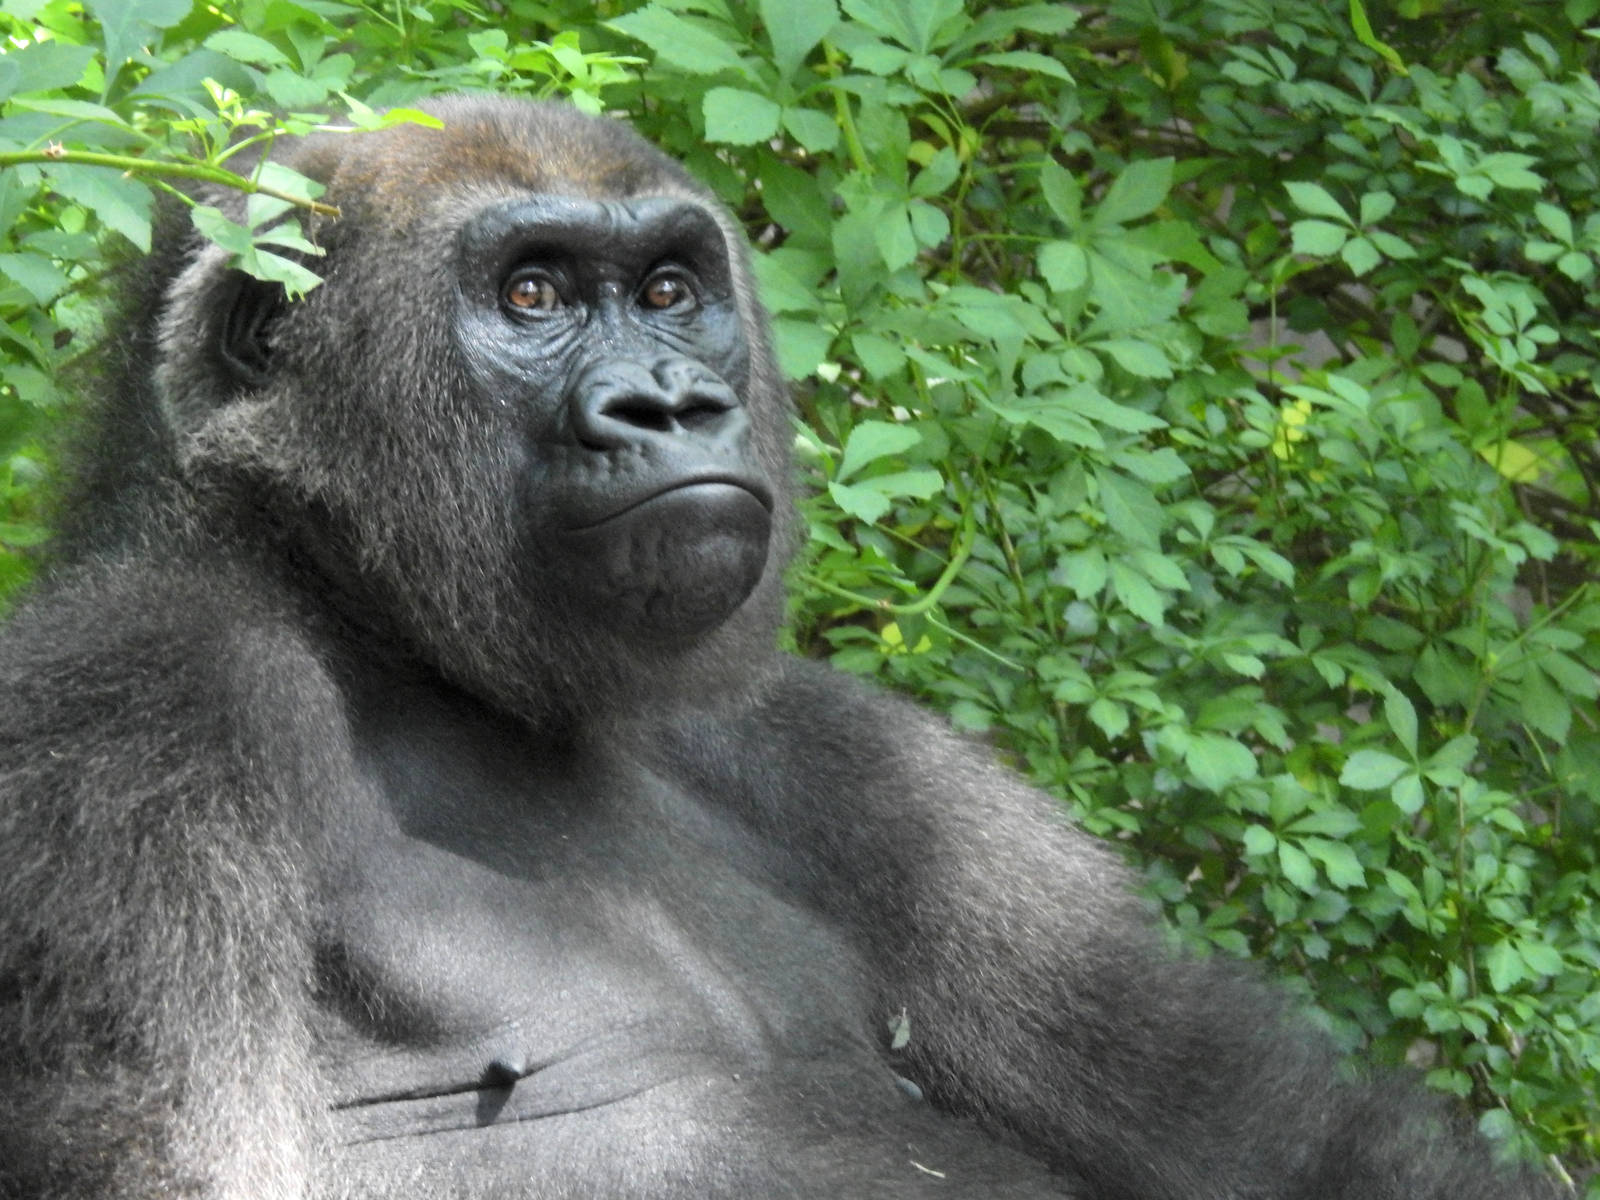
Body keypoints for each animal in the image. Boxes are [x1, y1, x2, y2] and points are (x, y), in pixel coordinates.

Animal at [0, 95, 1561, 1199]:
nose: (675, 405)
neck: (401, 648)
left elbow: (1255, 1137)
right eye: (532, 295)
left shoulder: (849, 757)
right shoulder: (137, 708)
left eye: (670, 290)